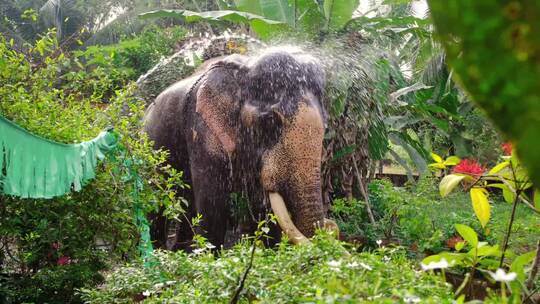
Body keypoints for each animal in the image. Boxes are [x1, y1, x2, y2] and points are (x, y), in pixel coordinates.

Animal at [143, 47, 338, 251]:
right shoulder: (201, 128)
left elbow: (266, 209)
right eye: (270, 121)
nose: (330, 227)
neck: (245, 67)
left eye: (326, 125)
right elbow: (212, 204)